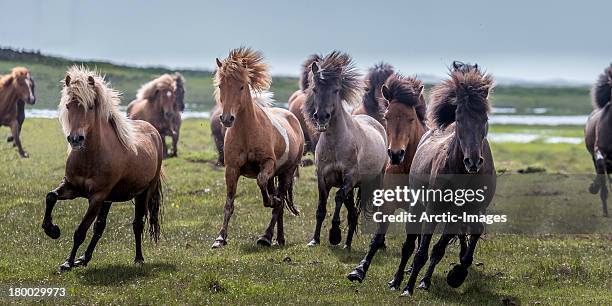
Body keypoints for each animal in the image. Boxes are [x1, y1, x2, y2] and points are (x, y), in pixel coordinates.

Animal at [42, 65, 165, 272]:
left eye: (90, 106)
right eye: (68, 106)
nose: (75, 139)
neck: (91, 157)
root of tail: (153, 131)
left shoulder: (97, 198)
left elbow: (80, 231)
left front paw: (67, 262)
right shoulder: (71, 187)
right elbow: (51, 196)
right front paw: (52, 230)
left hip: (142, 194)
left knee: (137, 224)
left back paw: (138, 258)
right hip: (109, 199)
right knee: (100, 227)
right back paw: (84, 258)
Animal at [212, 47, 304, 249]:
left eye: (241, 86)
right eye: (221, 86)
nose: (227, 119)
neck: (247, 132)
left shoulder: (267, 163)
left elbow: (262, 184)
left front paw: (271, 200)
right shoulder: (232, 169)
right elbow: (229, 204)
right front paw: (220, 238)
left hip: (287, 172)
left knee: (279, 203)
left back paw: (266, 237)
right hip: (276, 174)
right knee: (279, 203)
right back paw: (279, 238)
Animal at [304, 51, 388, 250]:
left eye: (336, 90)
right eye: (315, 89)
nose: (322, 117)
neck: (335, 144)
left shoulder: (348, 178)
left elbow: (337, 198)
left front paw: (334, 234)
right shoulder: (322, 178)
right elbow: (321, 207)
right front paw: (315, 239)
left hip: (376, 179)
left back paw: (379, 243)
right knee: (353, 211)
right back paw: (347, 244)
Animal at [346, 73, 428, 284]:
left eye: (411, 118)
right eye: (387, 116)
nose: (396, 154)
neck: (407, 167)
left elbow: (410, 242)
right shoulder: (388, 203)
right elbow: (376, 238)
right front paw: (359, 270)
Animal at [392, 61, 498, 296]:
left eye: (485, 119)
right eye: (459, 118)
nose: (473, 162)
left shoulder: (463, 214)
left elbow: (441, 249)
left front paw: (449, 277)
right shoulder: (432, 209)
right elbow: (421, 251)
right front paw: (408, 288)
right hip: (418, 206)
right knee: (409, 245)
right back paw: (396, 280)